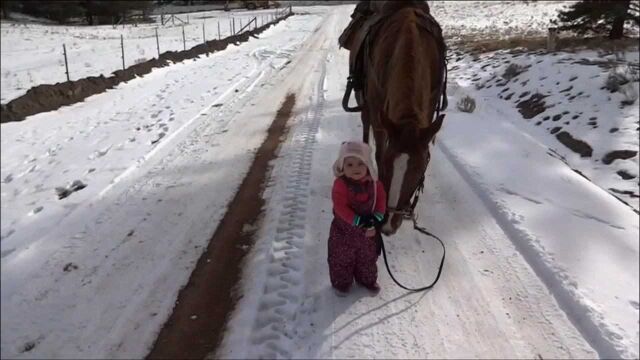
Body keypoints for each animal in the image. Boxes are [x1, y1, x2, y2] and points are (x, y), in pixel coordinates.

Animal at [338, 0, 448, 235]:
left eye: (420, 168)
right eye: (387, 166)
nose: (388, 224)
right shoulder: (380, 120)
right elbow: (378, 151)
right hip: (364, 102)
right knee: (365, 128)